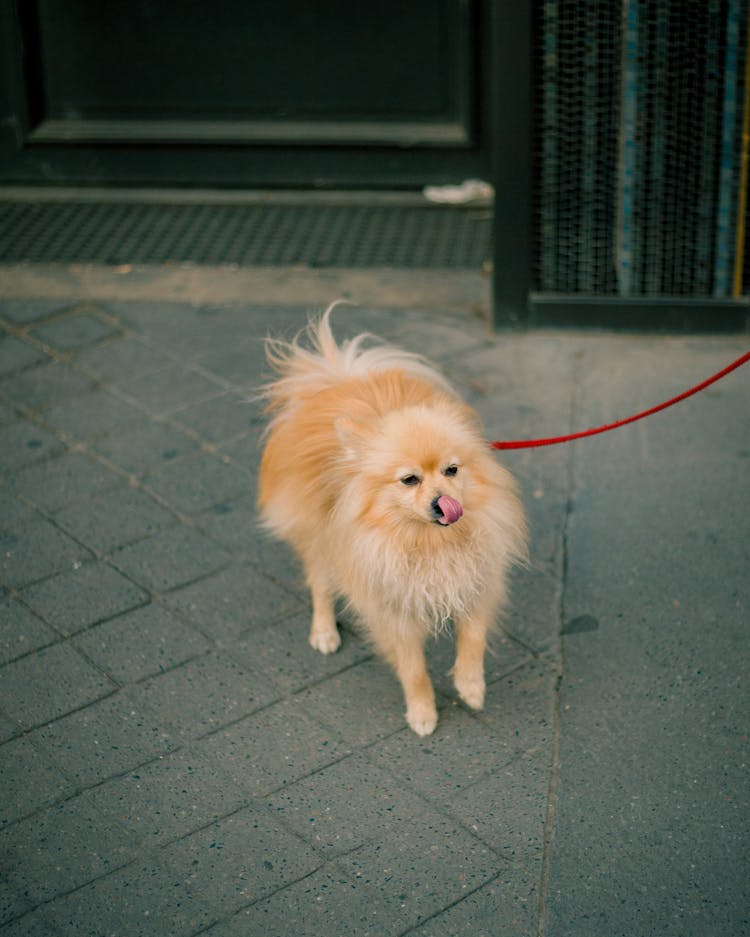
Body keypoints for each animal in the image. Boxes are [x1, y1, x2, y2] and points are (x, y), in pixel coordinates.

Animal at [258, 310, 528, 736]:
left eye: (452, 470)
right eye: (409, 480)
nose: (443, 502)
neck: (426, 542)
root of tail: (336, 381)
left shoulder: (475, 579)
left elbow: (473, 638)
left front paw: (470, 686)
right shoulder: (392, 607)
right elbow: (413, 669)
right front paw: (422, 713)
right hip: (320, 538)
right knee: (320, 582)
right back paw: (324, 631)